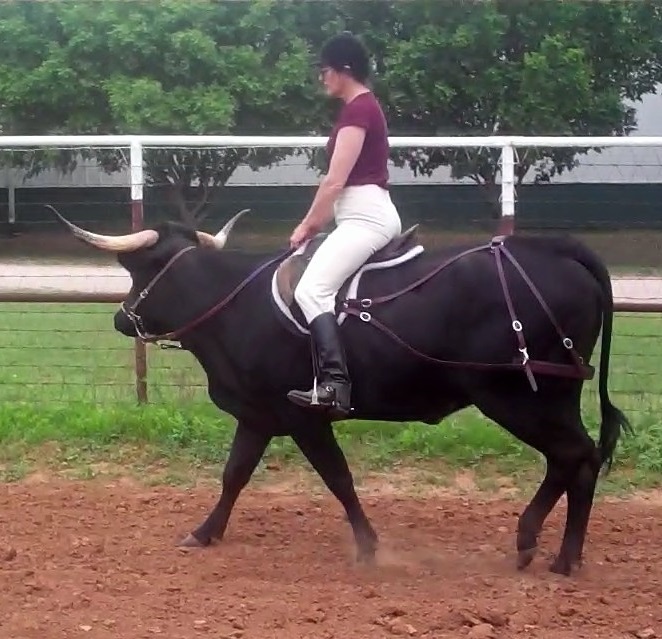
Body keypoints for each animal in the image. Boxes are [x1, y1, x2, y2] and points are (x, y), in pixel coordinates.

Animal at [52, 208, 632, 576]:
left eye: (137, 268)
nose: (120, 319)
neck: (235, 302)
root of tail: (554, 248)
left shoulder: (303, 418)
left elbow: (338, 479)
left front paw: (369, 547)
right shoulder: (259, 415)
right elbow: (234, 475)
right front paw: (205, 531)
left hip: (517, 397)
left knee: (574, 455)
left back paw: (551, 550)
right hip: (551, 399)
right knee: (574, 459)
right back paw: (551, 548)